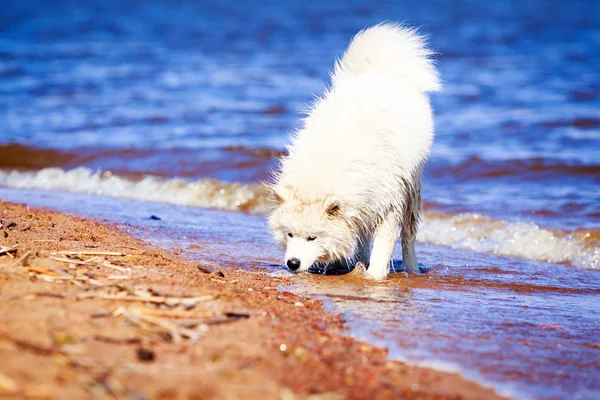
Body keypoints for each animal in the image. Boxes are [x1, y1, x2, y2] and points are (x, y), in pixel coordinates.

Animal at [268, 21, 440, 278]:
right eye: (290, 234)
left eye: (312, 237)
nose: (293, 263)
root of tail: (377, 74)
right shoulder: (360, 204)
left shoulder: (388, 202)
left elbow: (383, 245)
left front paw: (374, 275)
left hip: (412, 189)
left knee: (409, 236)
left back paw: (412, 268)